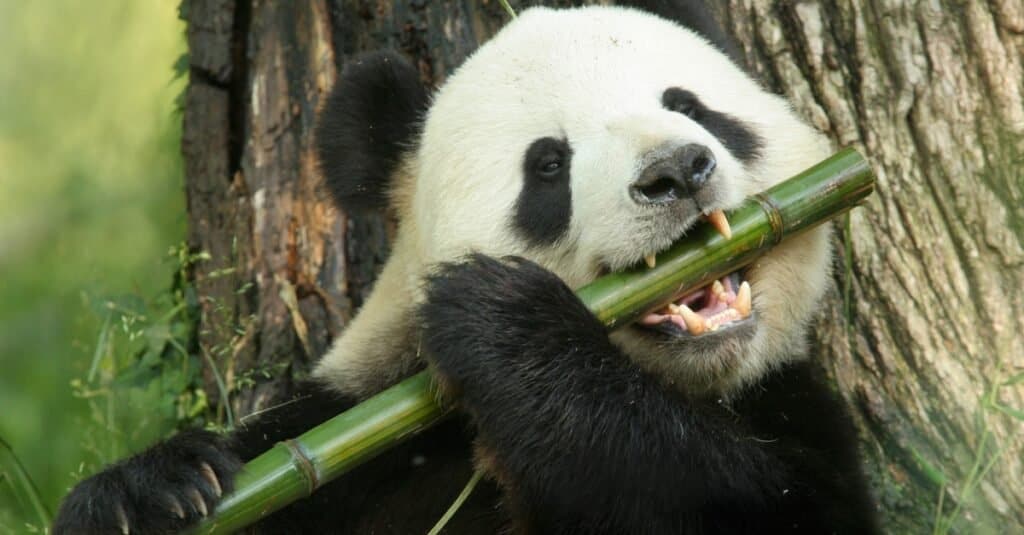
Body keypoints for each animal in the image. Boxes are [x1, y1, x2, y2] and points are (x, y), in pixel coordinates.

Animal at [51, 2, 876, 528]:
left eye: (692, 106)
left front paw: (505, 324)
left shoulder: (791, 408)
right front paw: (148, 492)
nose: (676, 170)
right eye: (548, 164)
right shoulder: (368, 445)